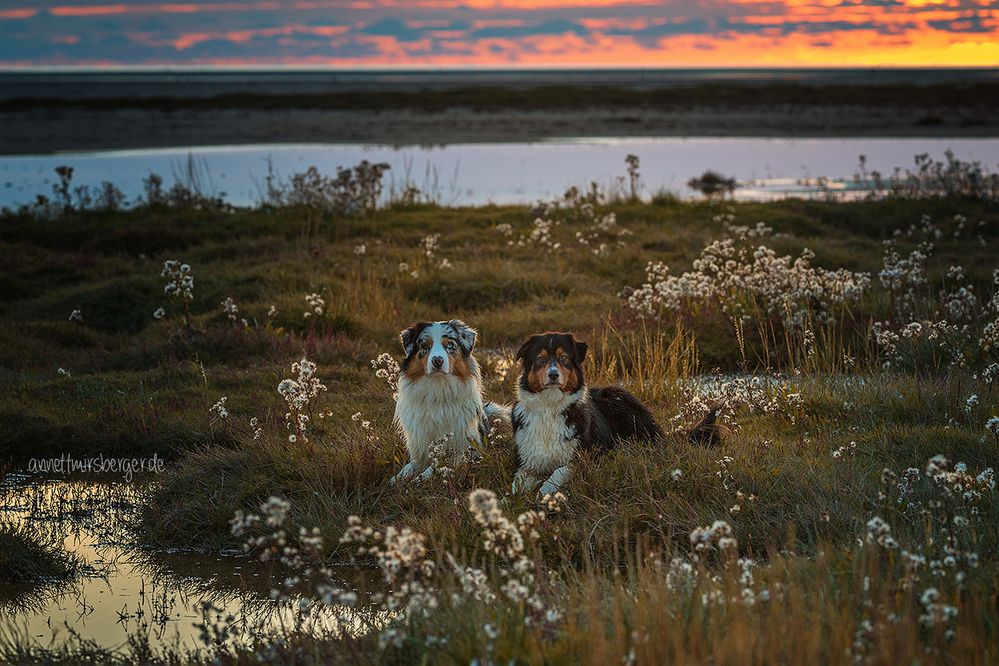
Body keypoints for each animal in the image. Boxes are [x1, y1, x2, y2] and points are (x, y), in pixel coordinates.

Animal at [512, 330, 668, 492]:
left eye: (564, 357)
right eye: (540, 359)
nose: (553, 375)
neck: (550, 406)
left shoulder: (589, 455)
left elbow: (560, 471)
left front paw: (546, 490)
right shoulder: (524, 460)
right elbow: (517, 483)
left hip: (618, 400)